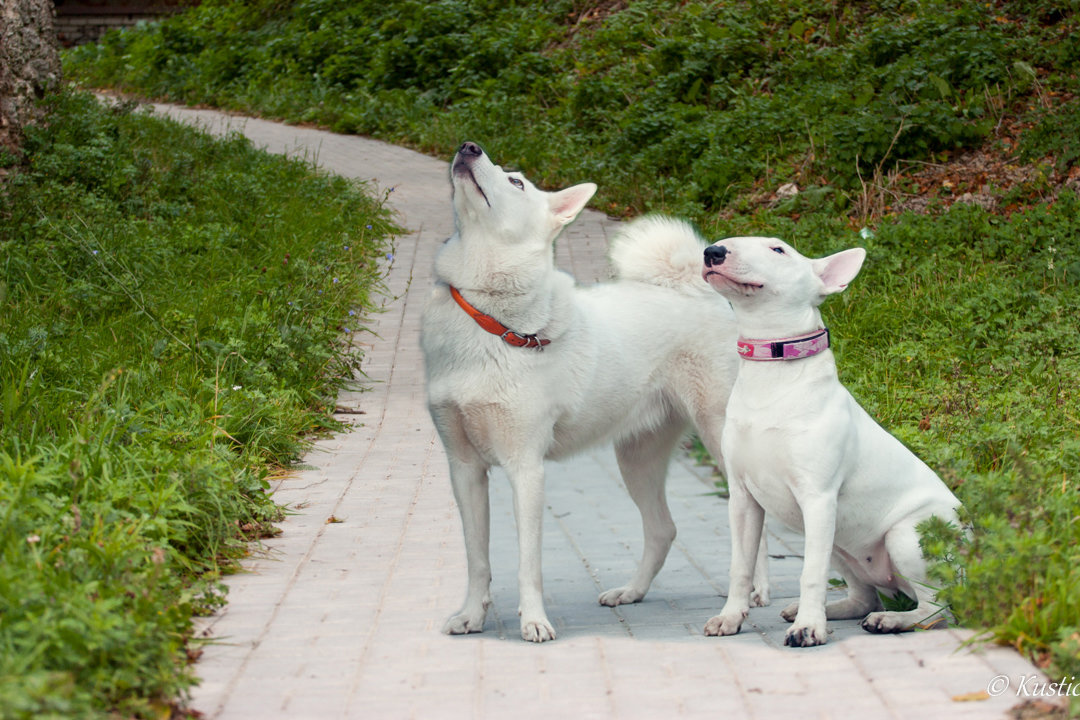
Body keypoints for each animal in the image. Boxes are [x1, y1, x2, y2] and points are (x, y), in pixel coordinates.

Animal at [416, 142, 764, 643]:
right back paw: (631, 592)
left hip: (718, 437)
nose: (469, 147)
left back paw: (757, 592)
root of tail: (692, 289)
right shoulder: (463, 469)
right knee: (663, 529)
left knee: (750, 515)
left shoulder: (526, 469)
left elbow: (528, 563)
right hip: (637, 457)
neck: (488, 317)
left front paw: (534, 621)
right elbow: (477, 558)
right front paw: (471, 616)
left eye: (516, 181)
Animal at [704, 236, 959, 647]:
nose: (713, 252)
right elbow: (740, 566)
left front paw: (808, 629)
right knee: (864, 596)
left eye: (778, 250)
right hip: (842, 543)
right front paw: (730, 618)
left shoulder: (819, 497)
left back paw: (890, 620)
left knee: (937, 607)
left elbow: (811, 573)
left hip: (905, 535)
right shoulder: (742, 498)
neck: (770, 375)